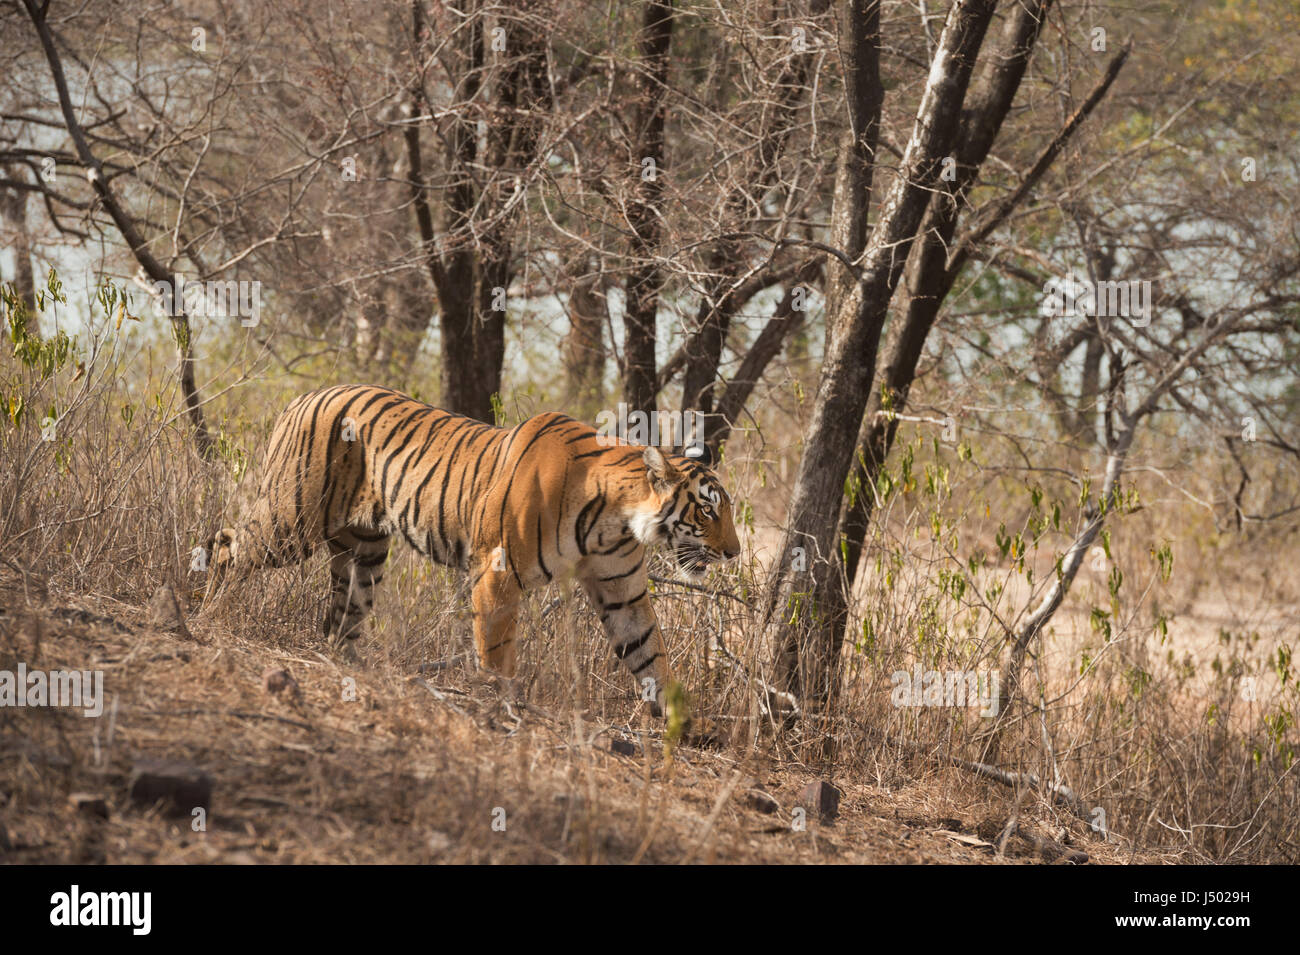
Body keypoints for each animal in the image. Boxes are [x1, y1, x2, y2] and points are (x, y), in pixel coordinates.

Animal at [197, 384, 738, 722]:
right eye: (708, 510)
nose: (734, 553)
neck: (614, 521)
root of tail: (305, 395)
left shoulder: (620, 589)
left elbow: (650, 653)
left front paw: (686, 722)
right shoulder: (498, 573)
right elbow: (496, 649)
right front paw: (504, 701)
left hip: (365, 550)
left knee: (342, 615)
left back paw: (351, 666)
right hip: (292, 518)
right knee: (226, 546)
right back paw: (209, 614)